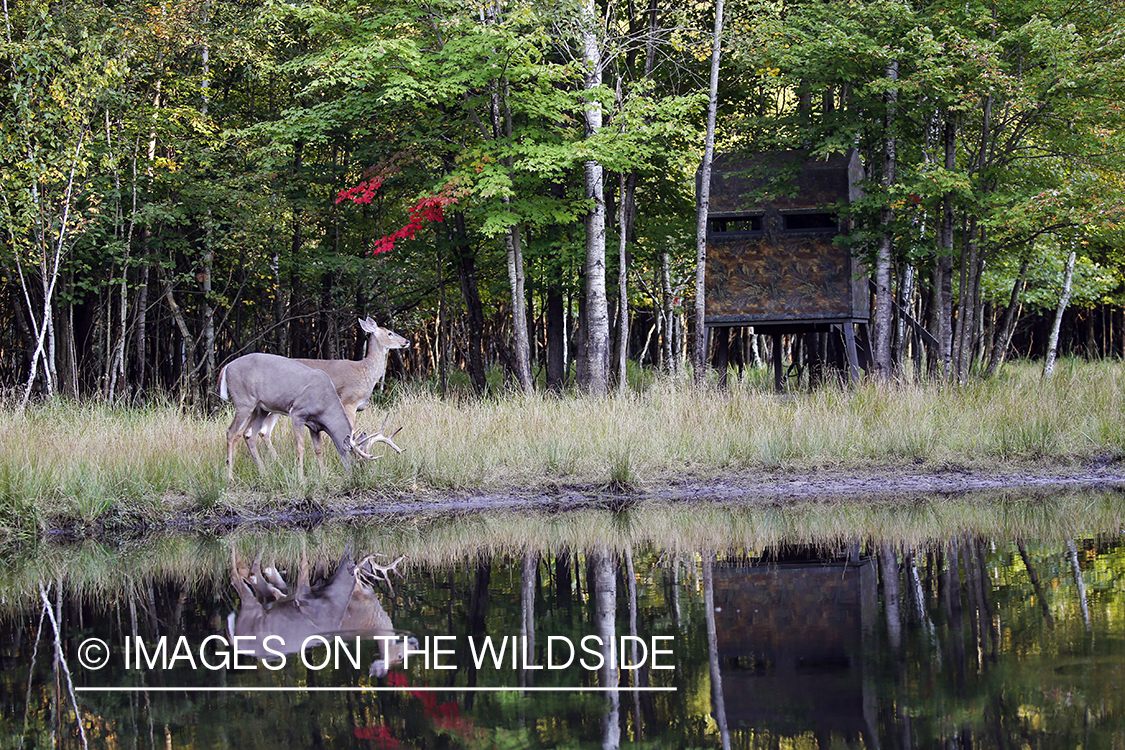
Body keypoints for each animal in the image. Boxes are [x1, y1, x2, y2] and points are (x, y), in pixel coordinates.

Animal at [217, 353, 402, 481]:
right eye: (357, 459)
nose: (361, 477)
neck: (325, 405)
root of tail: (226, 367)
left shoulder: (315, 426)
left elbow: (318, 449)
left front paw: (323, 475)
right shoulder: (297, 413)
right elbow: (301, 447)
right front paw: (301, 477)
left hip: (260, 408)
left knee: (249, 434)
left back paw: (264, 473)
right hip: (244, 401)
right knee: (231, 432)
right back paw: (230, 476)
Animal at [257, 319, 411, 458]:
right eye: (390, 333)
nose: (407, 341)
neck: (365, 371)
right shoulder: (348, 401)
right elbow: (351, 431)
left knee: (264, 432)